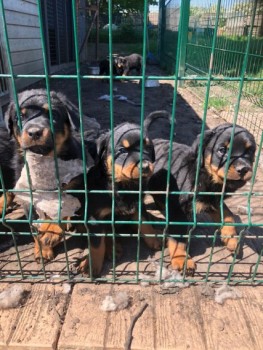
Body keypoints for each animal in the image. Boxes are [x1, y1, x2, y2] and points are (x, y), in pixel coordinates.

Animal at [77, 122, 162, 276]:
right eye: (122, 150)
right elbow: (97, 244)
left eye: (148, 147)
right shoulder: (94, 216)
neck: (124, 185)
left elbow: (145, 222)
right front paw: (91, 265)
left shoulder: (138, 204)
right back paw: (113, 248)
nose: (146, 166)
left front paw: (153, 239)